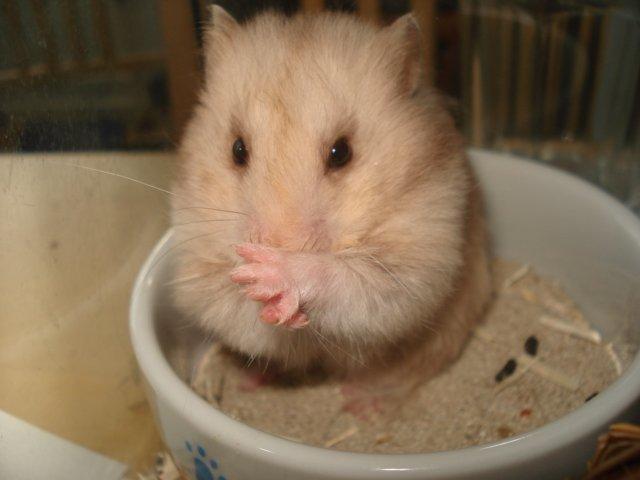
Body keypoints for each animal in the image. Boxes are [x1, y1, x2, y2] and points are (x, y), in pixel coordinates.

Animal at [171, 5, 492, 382]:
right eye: (237, 150)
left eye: (341, 153)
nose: (275, 244)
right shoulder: (196, 271)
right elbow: (237, 310)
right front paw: (254, 281)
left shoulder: (420, 258)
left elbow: (352, 280)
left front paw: (272, 276)